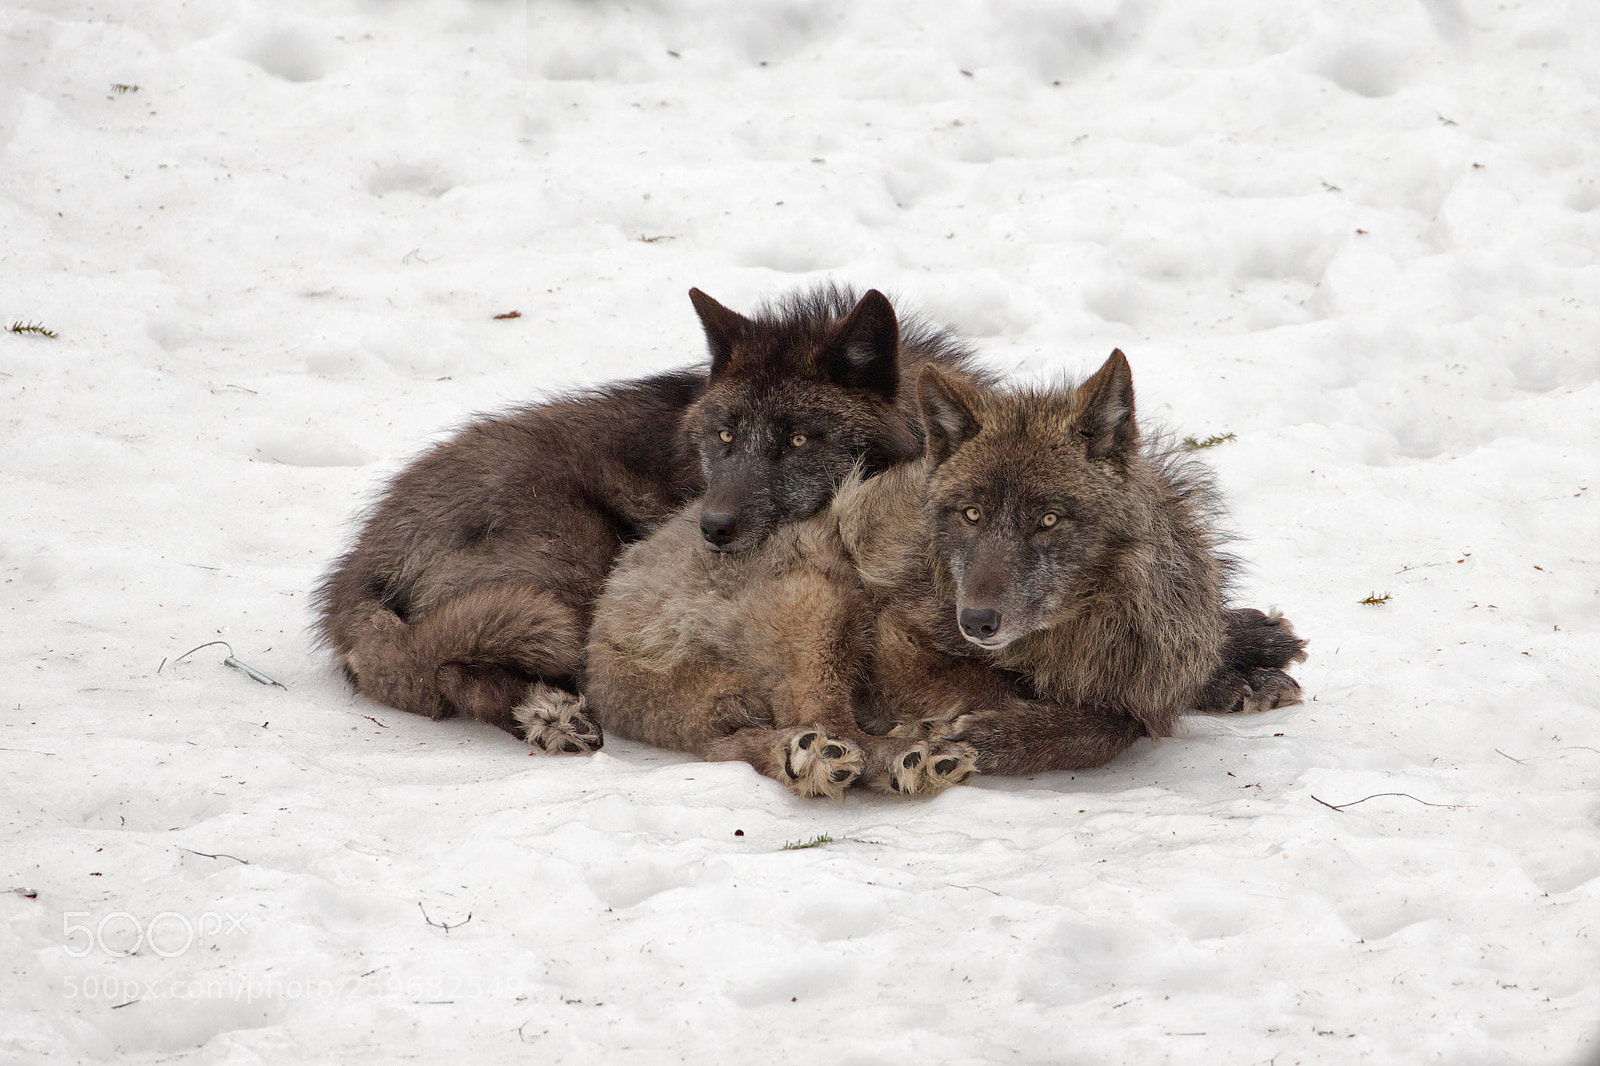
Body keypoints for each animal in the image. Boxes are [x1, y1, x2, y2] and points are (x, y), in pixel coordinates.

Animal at [313, 284, 981, 746]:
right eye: (725, 434)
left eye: (797, 441)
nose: (712, 527)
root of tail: (359, 563)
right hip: (577, 559)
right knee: (447, 667)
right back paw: (552, 715)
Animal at [838, 351, 1307, 775]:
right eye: (972, 514)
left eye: (1048, 519)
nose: (976, 621)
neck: (1084, 621)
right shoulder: (895, 646)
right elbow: (1097, 714)